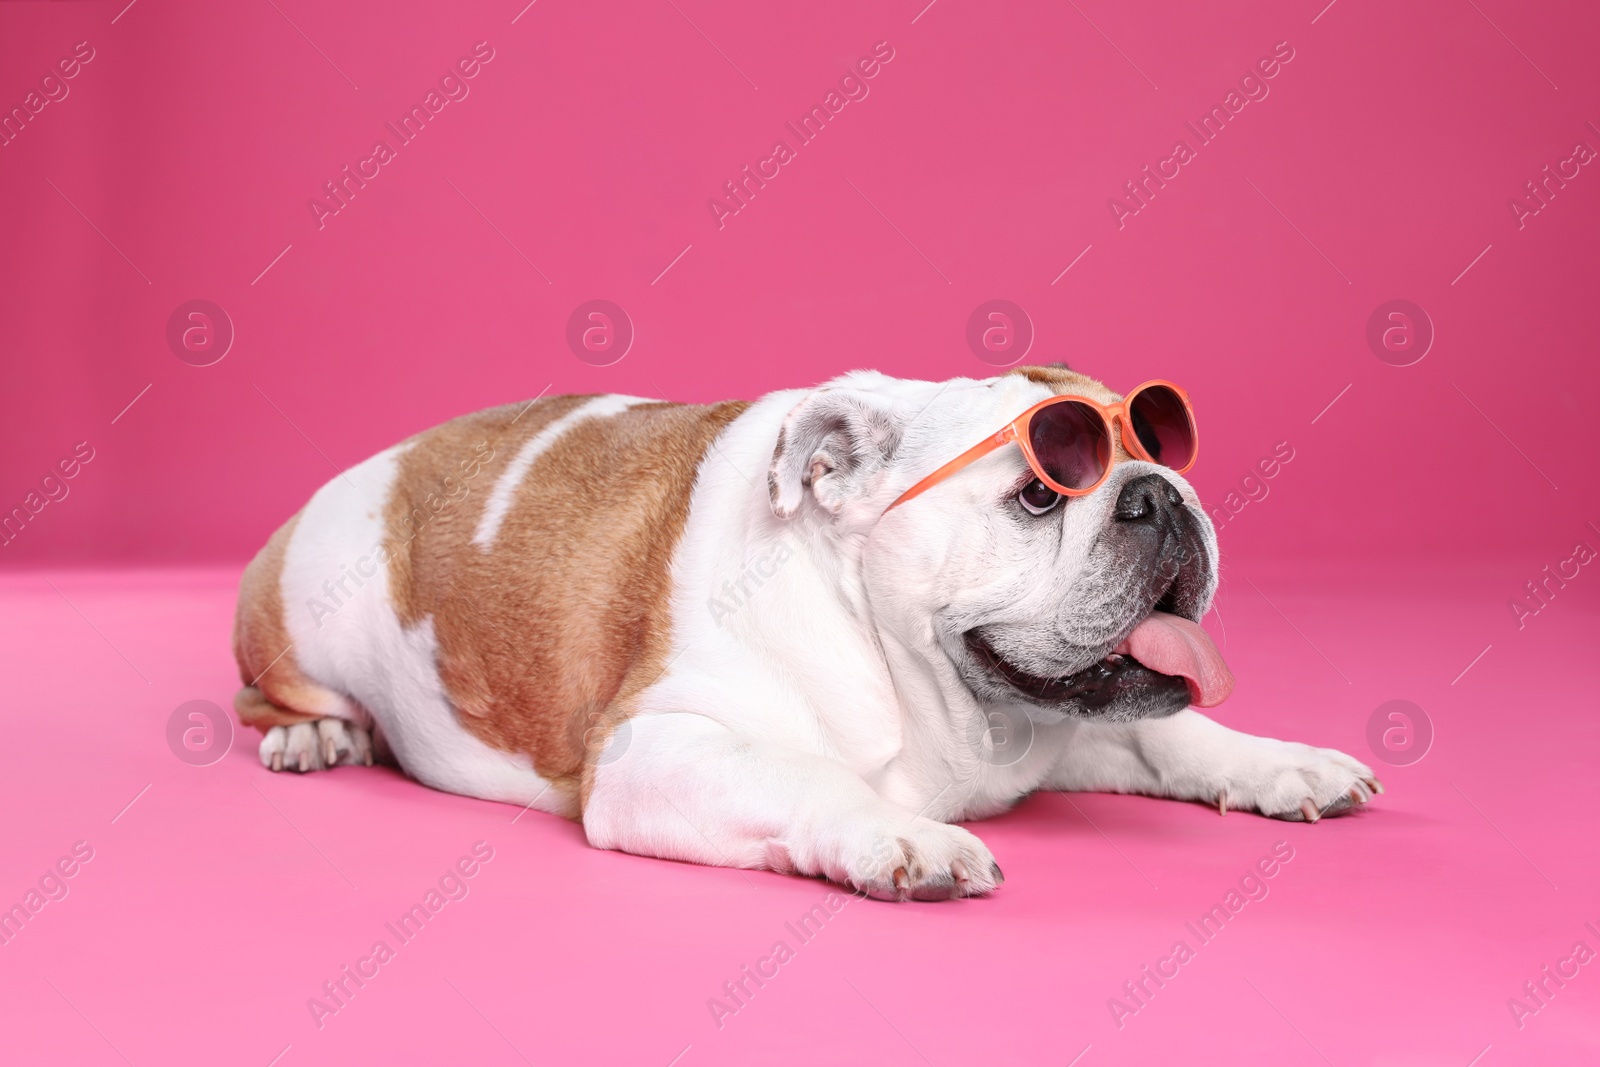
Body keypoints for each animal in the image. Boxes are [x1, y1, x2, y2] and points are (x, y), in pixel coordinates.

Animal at [233, 367, 1376, 902]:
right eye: (1037, 498)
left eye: (1161, 450)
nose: (1160, 496)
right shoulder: (661, 749)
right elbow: (807, 775)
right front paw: (903, 836)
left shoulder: (1072, 727)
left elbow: (1170, 731)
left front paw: (1281, 761)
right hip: (301, 611)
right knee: (270, 696)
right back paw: (315, 734)